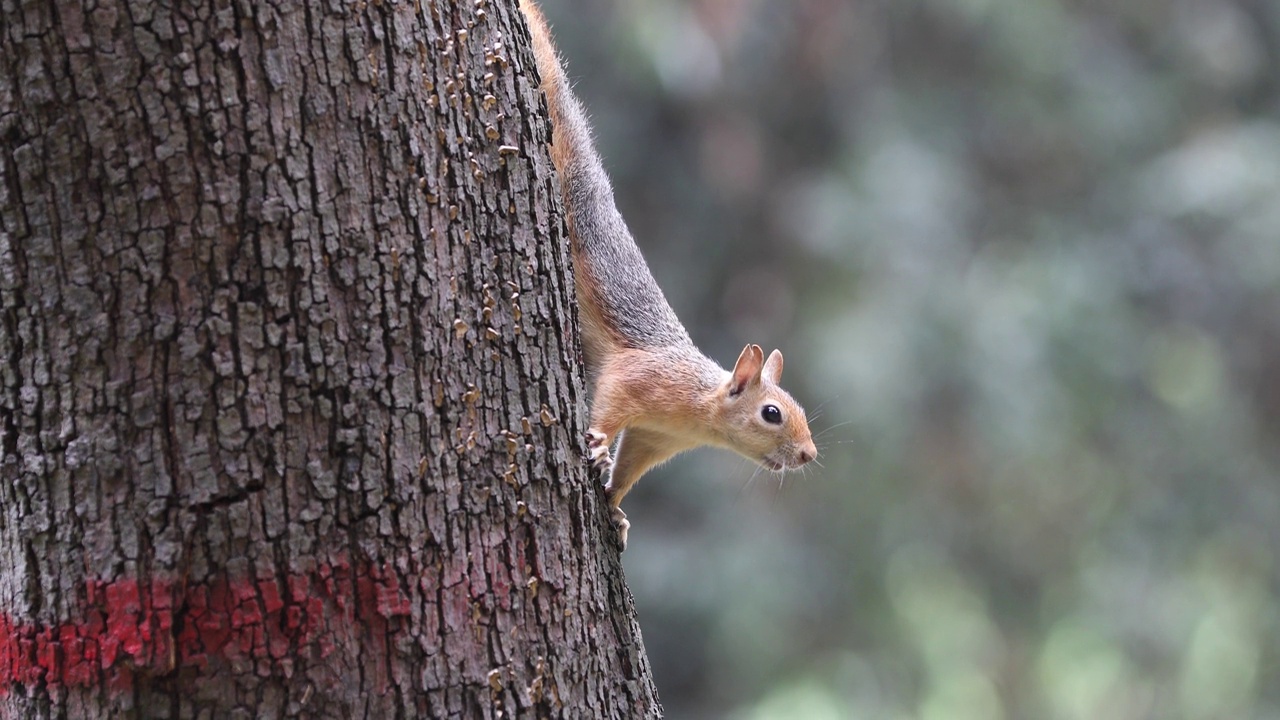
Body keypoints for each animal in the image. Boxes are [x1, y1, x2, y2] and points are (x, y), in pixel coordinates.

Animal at [514, 1, 814, 548]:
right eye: (772, 413)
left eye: (797, 406)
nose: (809, 454)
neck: (698, 410)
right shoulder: (642, 378)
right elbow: (612, 401)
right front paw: (596, 444)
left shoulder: (655, 439)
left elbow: (630, 467)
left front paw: (615, 508)